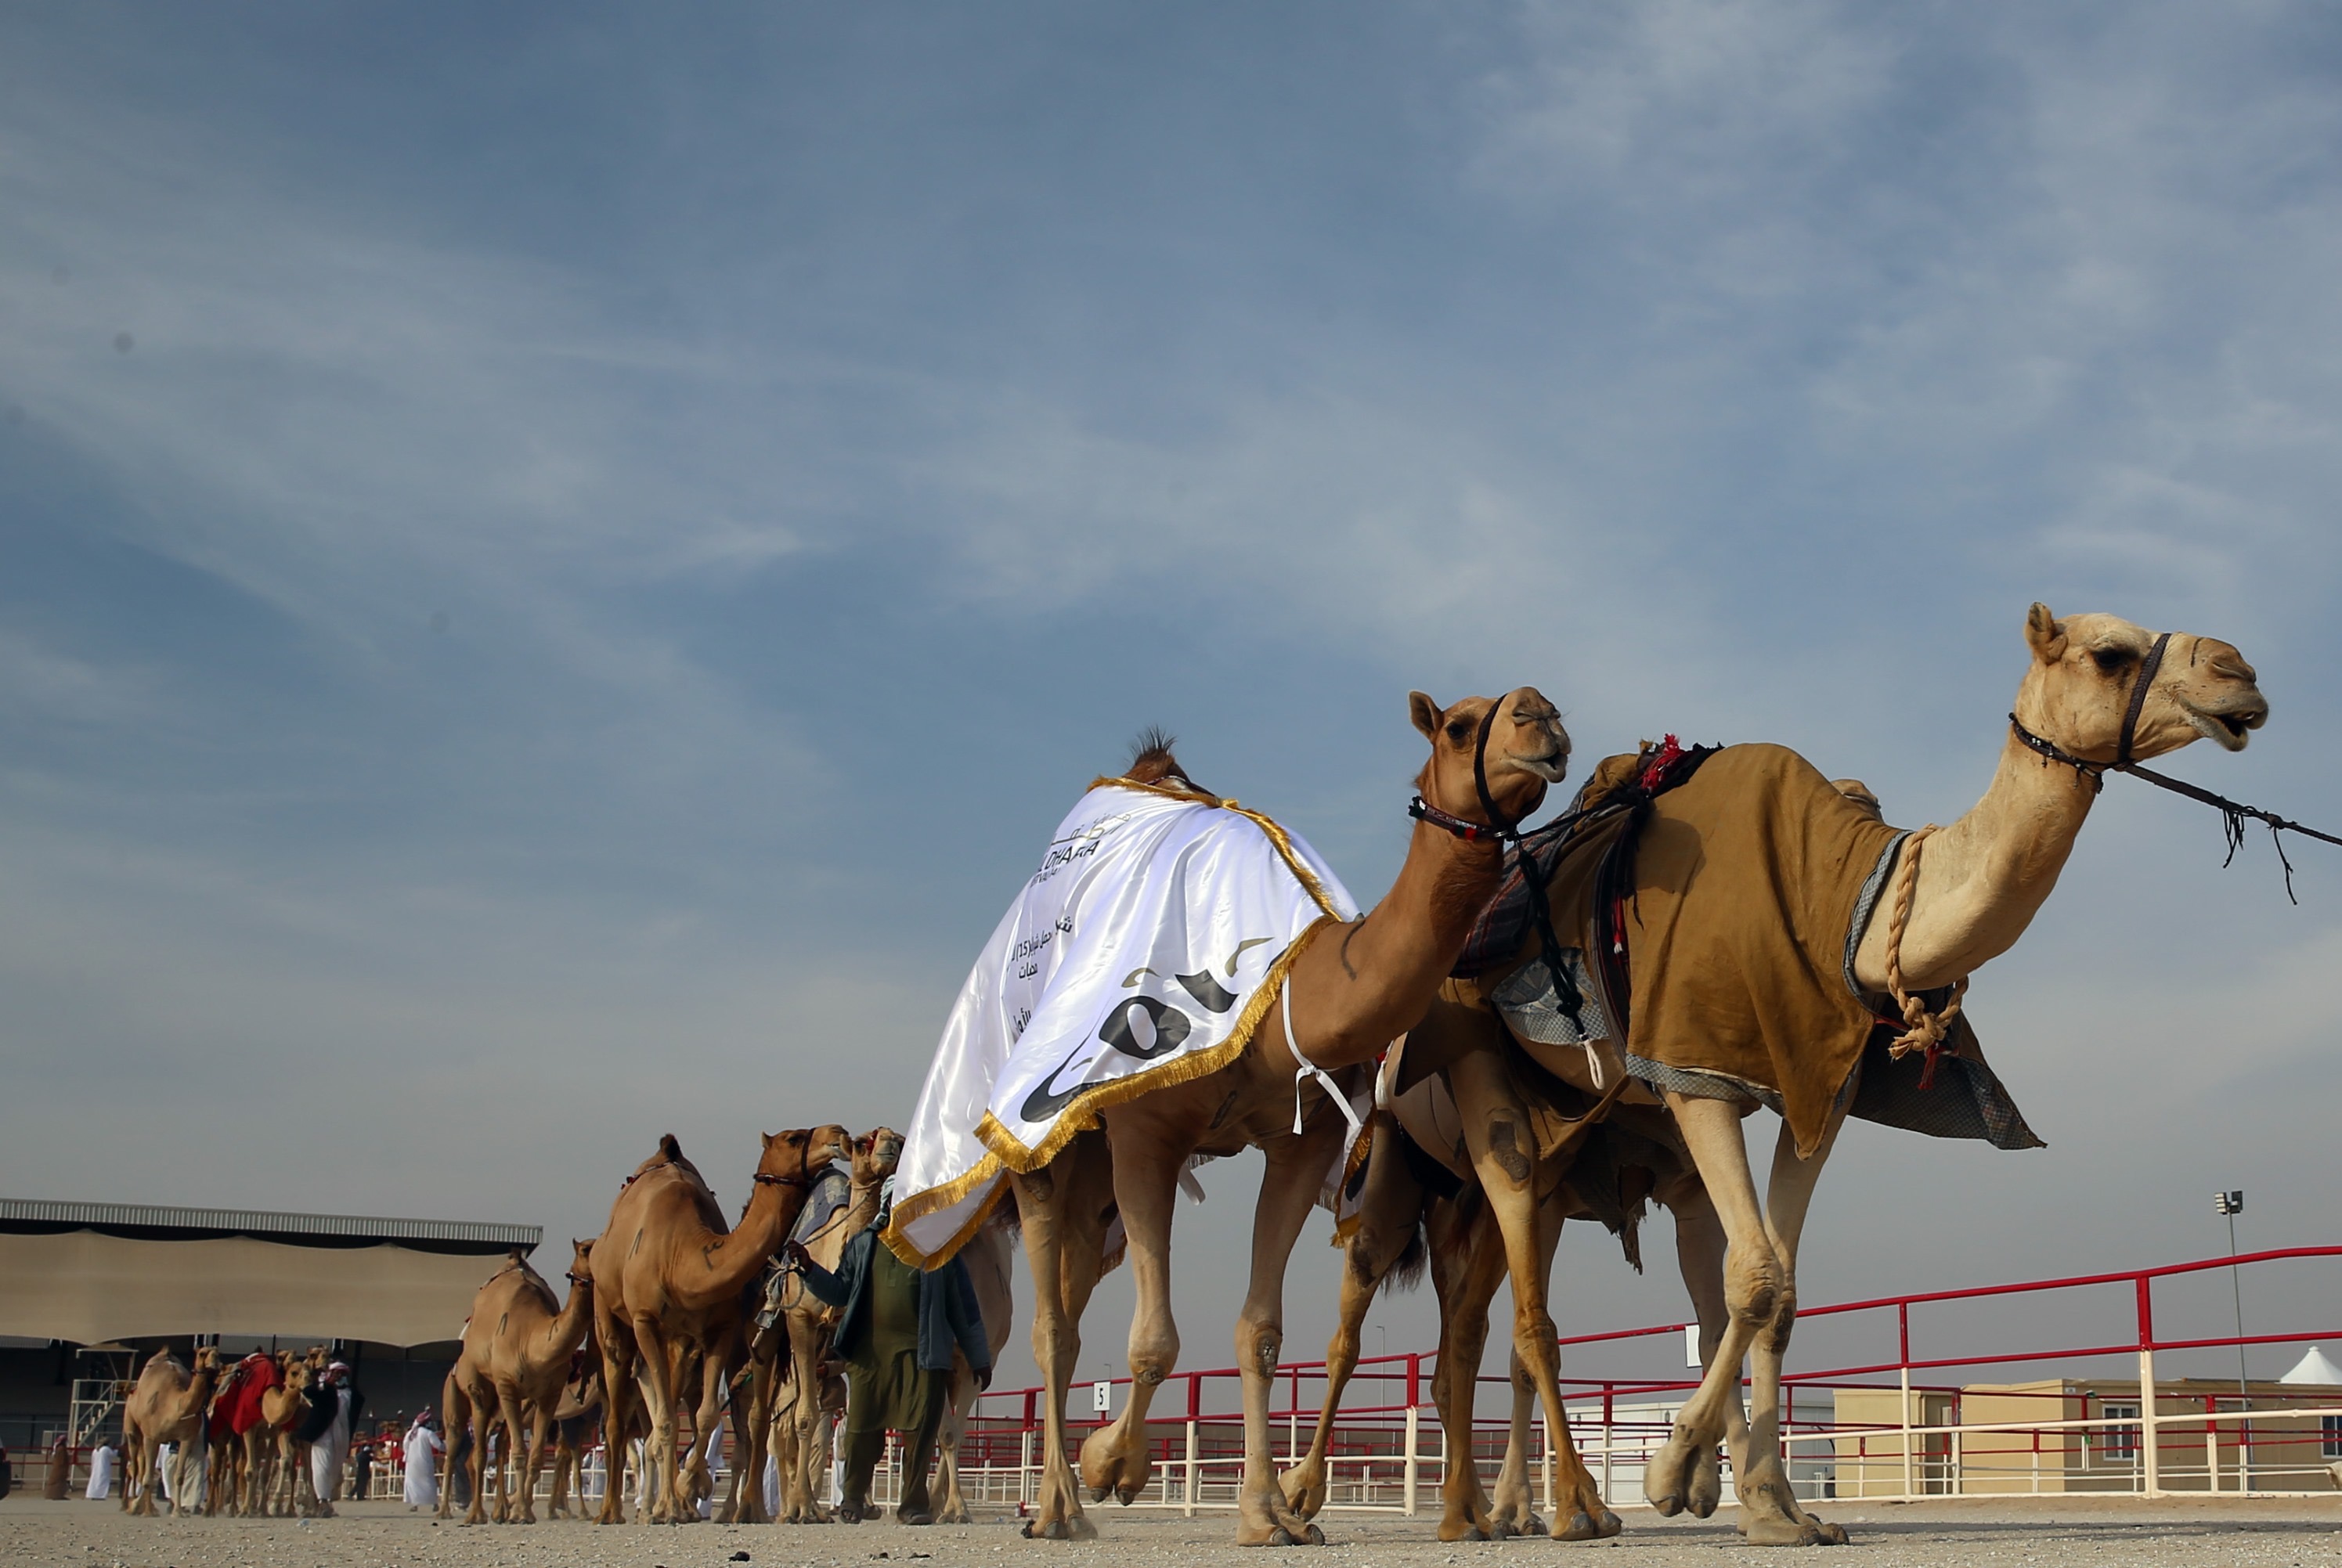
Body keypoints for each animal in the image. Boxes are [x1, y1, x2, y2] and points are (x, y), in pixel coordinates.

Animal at [120, 1347, 220, 1516]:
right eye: (202, 1353)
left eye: (217, 1353)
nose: (215, 1364)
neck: (174, 1406)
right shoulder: (151, 1438)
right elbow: (147, 1477)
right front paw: (142, 1509)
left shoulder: (186, 1439)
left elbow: (179, 1477)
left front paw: (177, 1512)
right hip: (132, 1427)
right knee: (134, 1468)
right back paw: (131, 1506)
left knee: (142, 1469)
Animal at [590, 1132, 847, 1526]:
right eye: (794, 1138)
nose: (839, 1134)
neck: (681, 1256)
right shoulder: (646, 1321)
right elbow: (669, 1419)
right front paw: (672, 1503)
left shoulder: (720, 1330)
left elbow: (708, 1415)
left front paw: (693, 1488)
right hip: (611, 1317)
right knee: (619, 1412)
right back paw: (614, 1511)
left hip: (682, 1342)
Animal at [998, 697, 1564, 1545]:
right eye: (1461, 725)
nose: (1543, 718)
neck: (1291, 988)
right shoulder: (1146, 1131)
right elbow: (1155, 1340)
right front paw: (1113, 1465)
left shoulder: (1302, 1139)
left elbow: (1259, 1331)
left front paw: (1268, 1514)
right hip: (1046, 1145)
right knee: (1051, 1318)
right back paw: (1060, 1507)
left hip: (1091, 1180)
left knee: (1070, 1287)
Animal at [1480, 604, 2267, 1545]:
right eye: (2109, 653)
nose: (2240, 674)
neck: (1841, 904)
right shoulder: (1694, 1064)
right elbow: (1756, 1275)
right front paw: (1670, 1473)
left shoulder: (1820, 1084)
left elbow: (1777, 1289)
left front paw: (1776, 1508)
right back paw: (1536, 1509)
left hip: (1598, 1142)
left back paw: (1539, 1504)